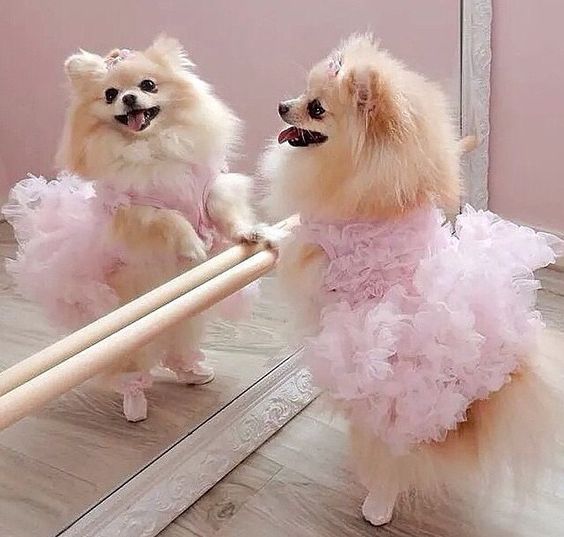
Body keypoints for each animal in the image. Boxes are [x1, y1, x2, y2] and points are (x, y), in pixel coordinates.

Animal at [3, 36, 270, 422]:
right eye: (110, 94)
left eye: (148, 86)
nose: (129, 98)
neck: (152, 147)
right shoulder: (135, 211)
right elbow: (170, 219)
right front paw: (192, 246)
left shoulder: (212, 187)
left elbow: (224, 211)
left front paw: (247, 233)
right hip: (128, 336)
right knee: (129, 369)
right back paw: (135, 402)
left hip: (182, 317)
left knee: (177, 347)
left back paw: (193, 372)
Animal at [262, 35, 560, 524]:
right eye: (302, 94)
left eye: (316, 108)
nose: (282, 106)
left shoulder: (317, 247)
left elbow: (288, 240)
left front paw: (254, 234)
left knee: (394, 458)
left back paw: (377, 505)